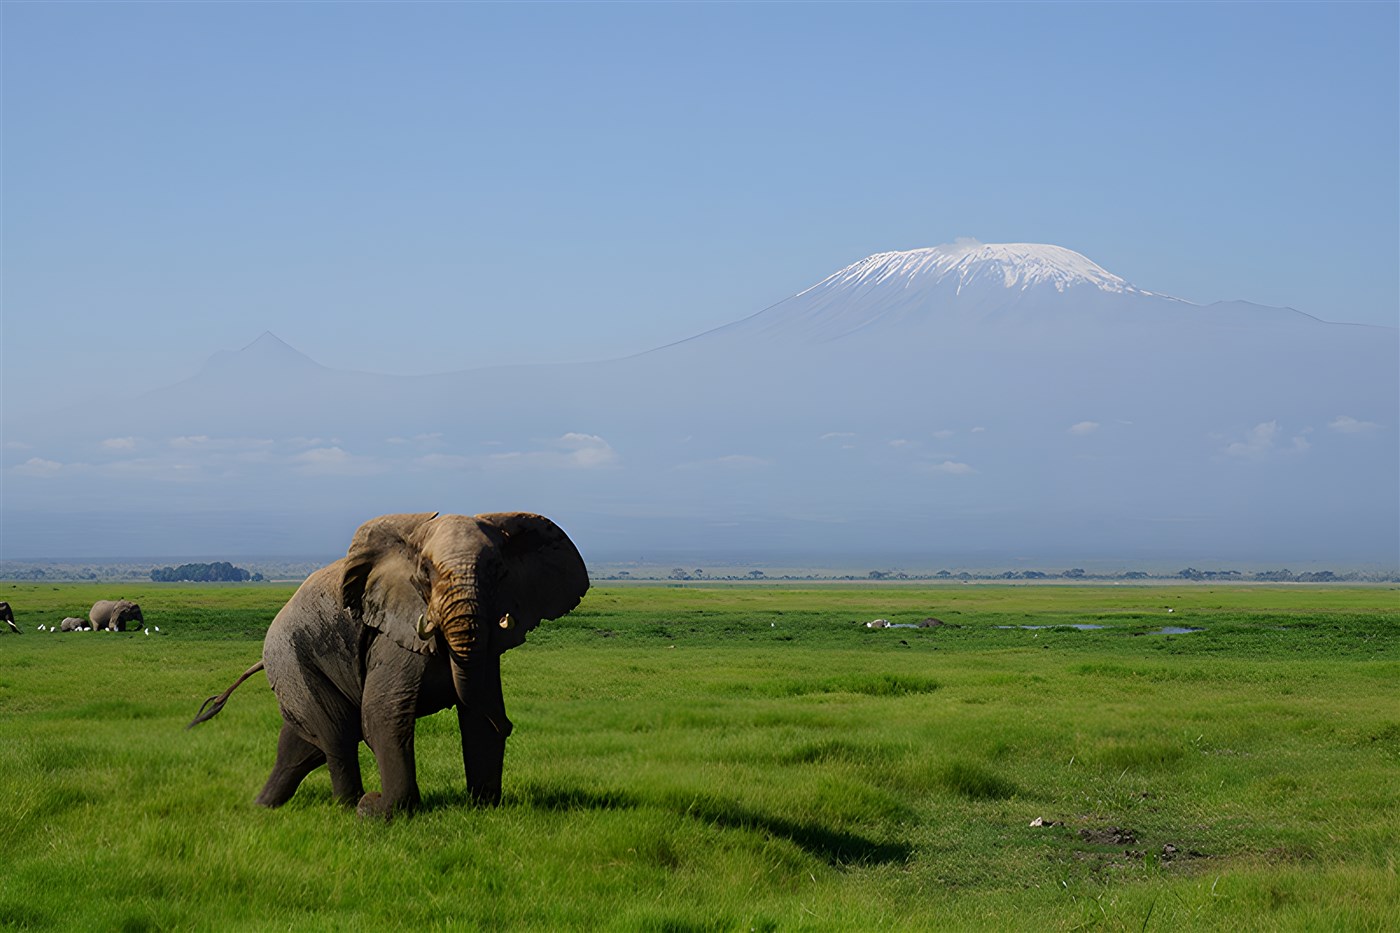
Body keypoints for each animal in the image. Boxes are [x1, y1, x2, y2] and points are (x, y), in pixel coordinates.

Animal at [189, 511, 588, 818]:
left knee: (305, 745)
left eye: (498, 571)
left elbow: (476, 715)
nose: (508, 724)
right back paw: (347, 808)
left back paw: (262, 807)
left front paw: (483, 808)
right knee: (337, 736)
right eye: (425, 572)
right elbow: (383, 715)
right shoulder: (394, 631)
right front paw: (380, 811)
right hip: (291, 657)